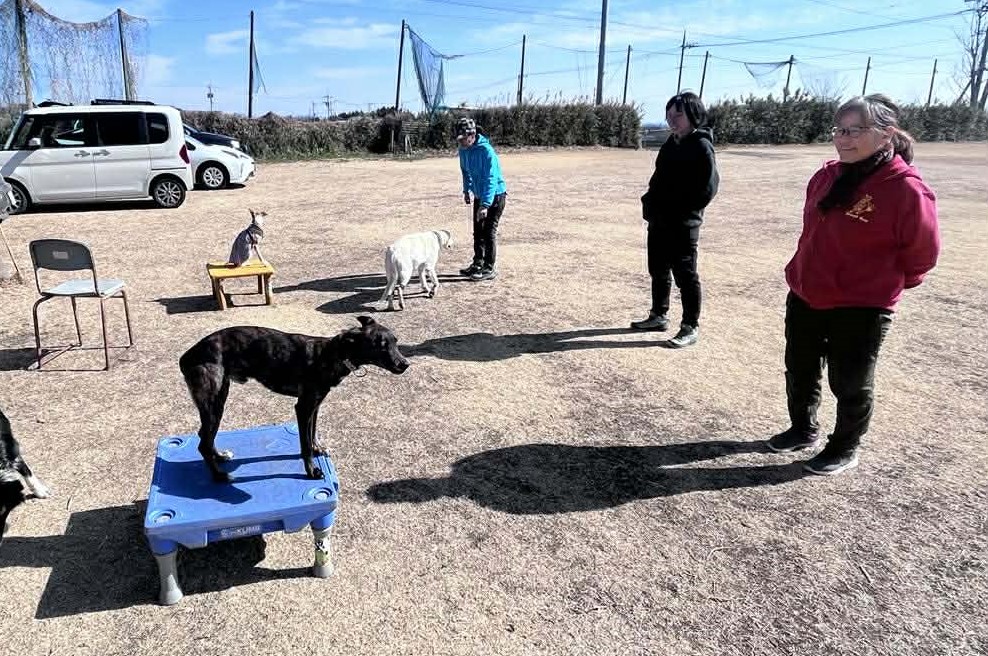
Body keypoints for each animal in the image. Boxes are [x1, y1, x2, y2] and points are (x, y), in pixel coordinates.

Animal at [179, 316, 409, 483]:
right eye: (380, 345)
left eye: (396, 342)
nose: (405, 364)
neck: (331, 354)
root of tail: (187, 356)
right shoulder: (303, 407)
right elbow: (304, 444)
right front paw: (312, 471)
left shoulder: (315, 405)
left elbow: (312, 432)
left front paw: (317, 449)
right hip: (213, 403)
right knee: (203, 444)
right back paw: (219, 476)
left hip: (219, 400)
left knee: (205, 436)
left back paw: (220, 457)